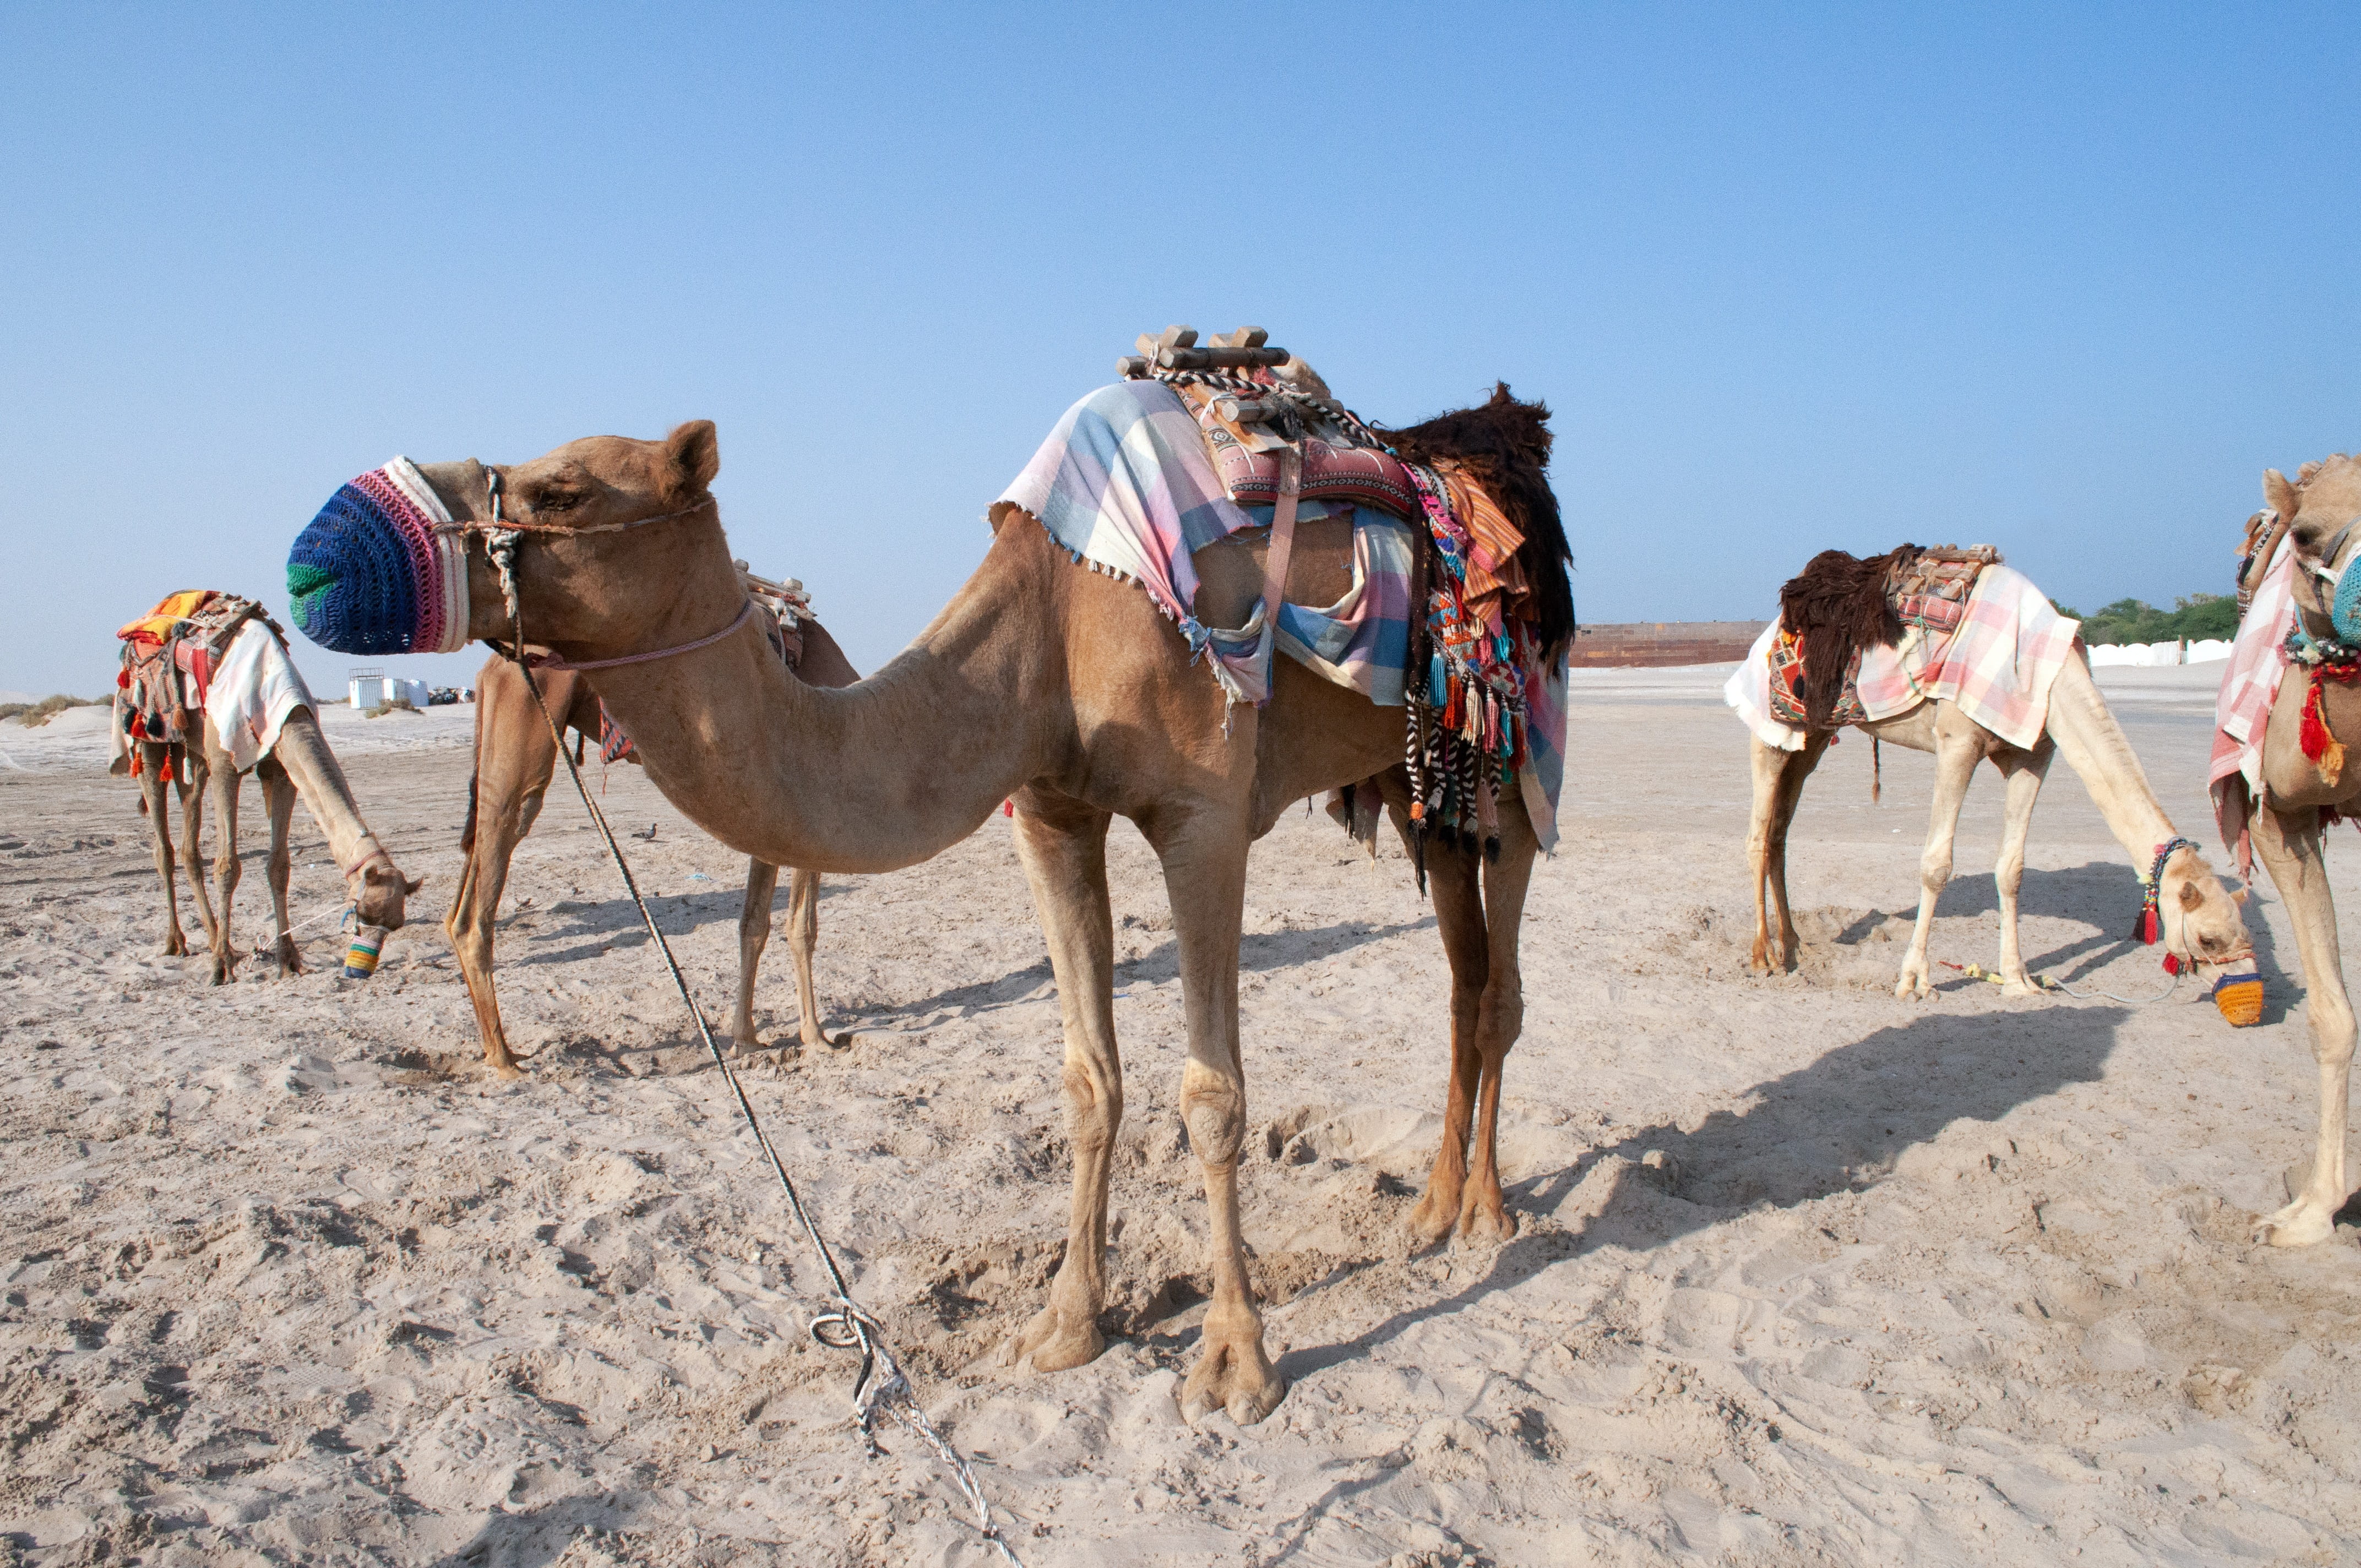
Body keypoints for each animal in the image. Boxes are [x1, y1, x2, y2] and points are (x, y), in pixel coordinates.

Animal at [448, 615, 860, 1077]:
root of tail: (489, 671)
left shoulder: (771, 821)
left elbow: (753, 925)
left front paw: (746, 1039)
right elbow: (801, 928)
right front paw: (816, 1038)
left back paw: (495, 1048)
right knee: (499, 853)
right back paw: (504, 1058)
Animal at [1744, 556, 2251, 1001]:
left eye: (2244, 933)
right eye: (2209, 939)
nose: (2244, 987)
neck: (2051, 672)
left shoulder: (2034, 754)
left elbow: (2012, 870)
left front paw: (2018, 981)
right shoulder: (1958, 741)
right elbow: (1936, 866)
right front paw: (1915, 982)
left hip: (1811, 738)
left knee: (1780, 834)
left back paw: (1794, 946)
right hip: (1772, 730)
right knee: (1759, 834)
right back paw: (1764, 957)